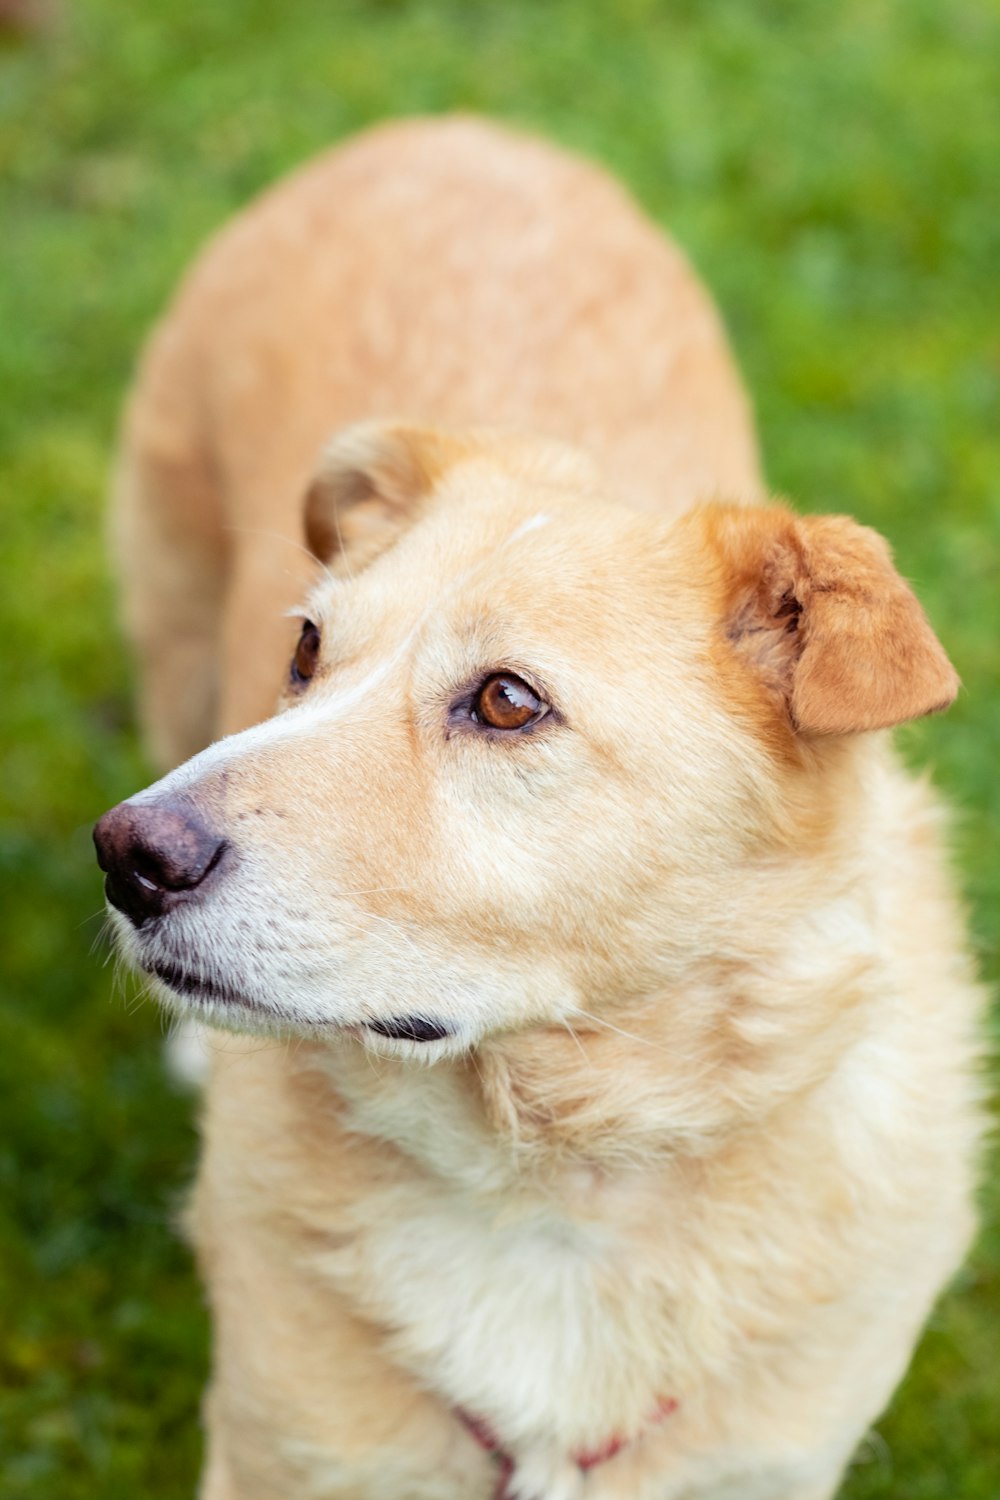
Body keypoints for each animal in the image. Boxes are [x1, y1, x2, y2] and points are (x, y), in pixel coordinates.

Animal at [95, 120, 983, 1500]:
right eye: (304, 652)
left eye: (507, 702)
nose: (128, 855)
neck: (556, 1186)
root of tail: (454, 131)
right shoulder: (278, 1456)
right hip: (173, 631)